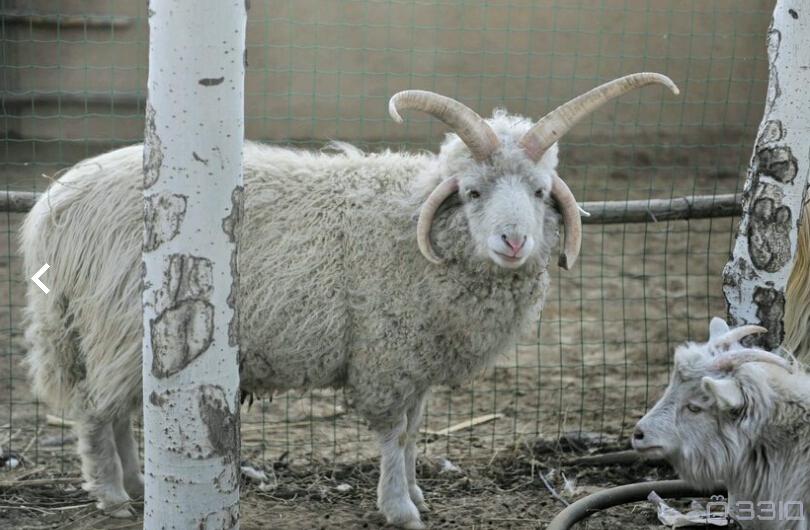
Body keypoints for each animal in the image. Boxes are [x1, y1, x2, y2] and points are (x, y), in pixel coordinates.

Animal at [20, 72, 676, 524]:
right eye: (471, 191)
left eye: (541, 192)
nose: (514, 241)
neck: (411, 222)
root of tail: (53, 207)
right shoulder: (386, 352)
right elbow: (391, 435)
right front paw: (399, 508)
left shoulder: (418, 358)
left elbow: (413, 431)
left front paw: (416, 492)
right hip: (117, 320)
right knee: (96, 411)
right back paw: (111, 494)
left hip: (115, 330)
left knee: (119, 408)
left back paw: (136, 483)